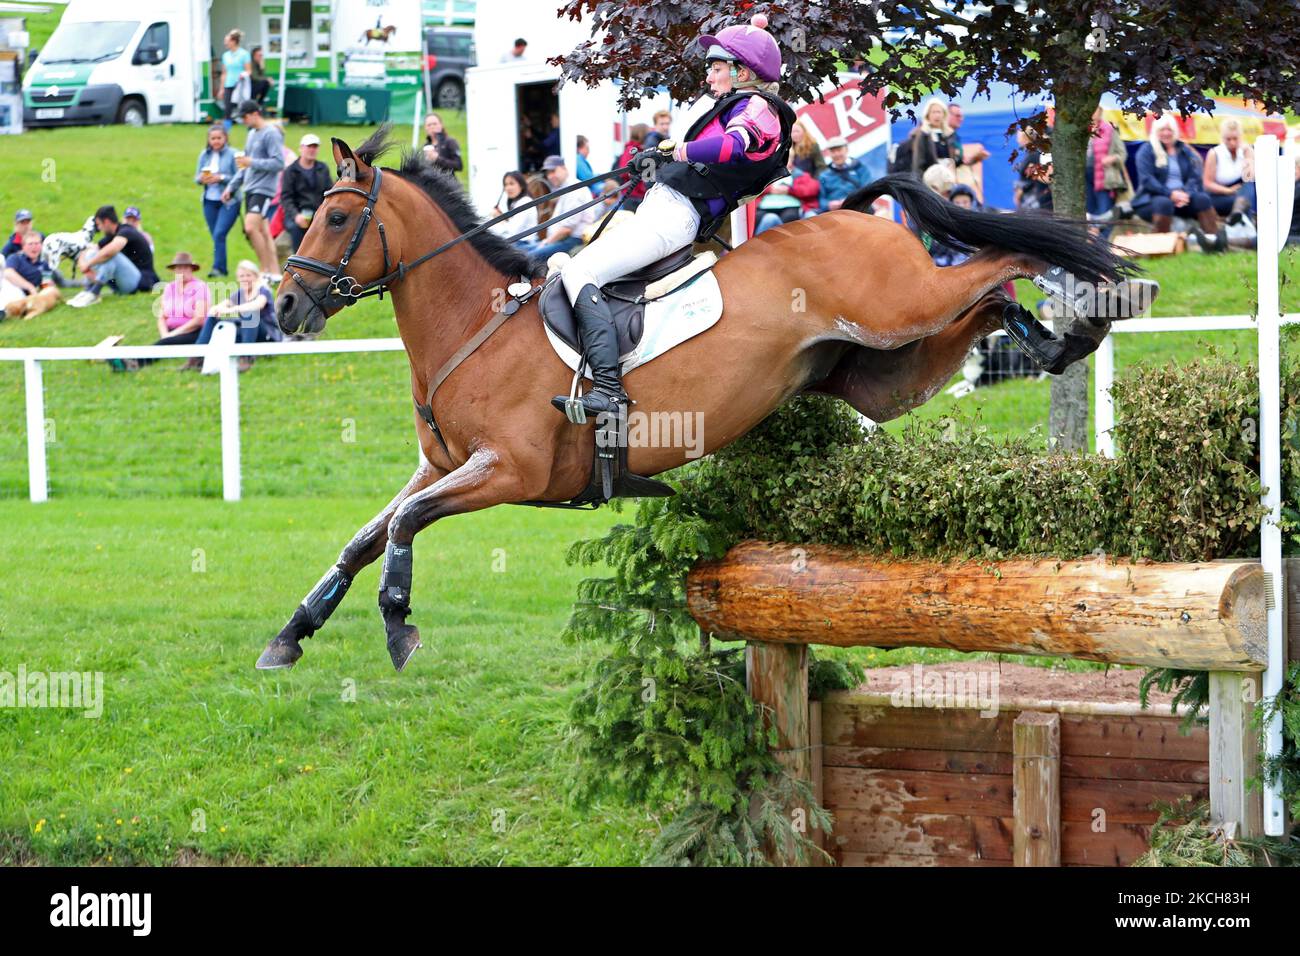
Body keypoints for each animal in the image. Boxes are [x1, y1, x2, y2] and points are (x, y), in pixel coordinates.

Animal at [256, 128, 1149, 671]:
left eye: (334, 217)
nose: (287, 307)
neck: (474, 324)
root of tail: (849, 211)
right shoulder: (440, 467)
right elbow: (364, 538)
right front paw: (292, 633)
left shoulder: (509, 472)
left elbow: (403, 527)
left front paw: (398, 623)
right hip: (885, 370)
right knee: (986, 304)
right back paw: (1057, 339)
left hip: (904, 306)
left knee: (999, 260)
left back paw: (1092, 298)